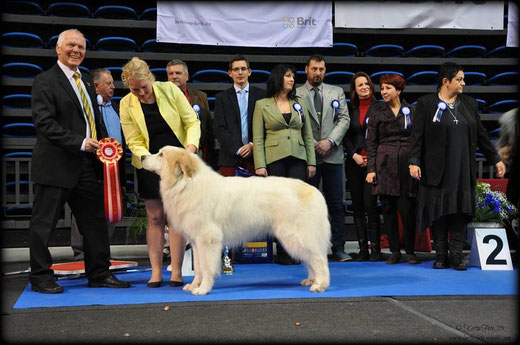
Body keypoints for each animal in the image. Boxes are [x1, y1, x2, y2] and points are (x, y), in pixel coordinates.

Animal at [140, 146, 332, 294]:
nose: (142, 156)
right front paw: (195, 285)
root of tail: (314, 191)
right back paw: (311, 280)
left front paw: (203, 289)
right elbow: (199, 269)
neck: (186, 184)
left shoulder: (207, 240)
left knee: (319, 260)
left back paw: (320, 285)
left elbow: (207, 268)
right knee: (312, 260)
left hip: (296, 236)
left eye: (161, 154)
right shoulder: (196, 241)